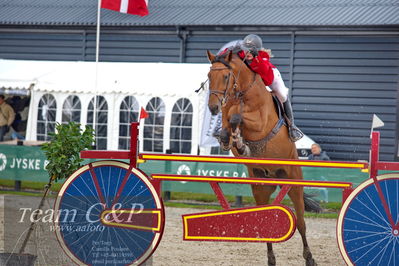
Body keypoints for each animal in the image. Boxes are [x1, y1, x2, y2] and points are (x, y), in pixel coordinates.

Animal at [206, 50, 318, 266]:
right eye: (208, 76)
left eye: (226, 76)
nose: (213, 107)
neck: (242, 92)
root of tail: (274, 176)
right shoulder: (227, 111)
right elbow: (228, 123)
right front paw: (232, 141)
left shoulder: (259, 123)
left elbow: (237, 117)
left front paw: (240, 140)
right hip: (260, 188)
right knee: (264, 222)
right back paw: (271, 259)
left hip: (294, 184)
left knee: (301, 223)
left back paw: (310, 258)